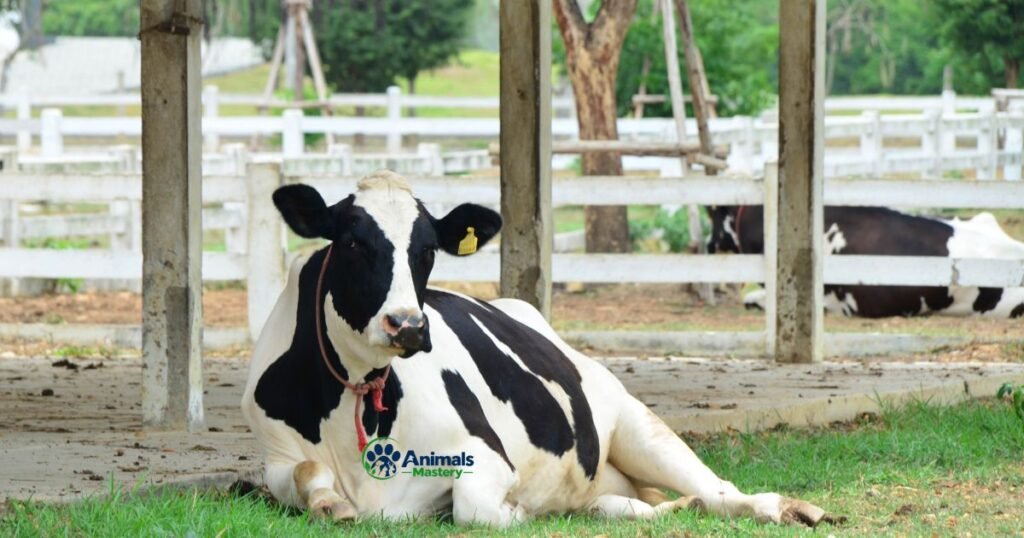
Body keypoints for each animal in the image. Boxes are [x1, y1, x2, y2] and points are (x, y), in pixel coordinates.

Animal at [241, 171, 832, 528]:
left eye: (426, 250)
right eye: (352, 242)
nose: (408, 325)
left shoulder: (482, 451)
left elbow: (474, 508)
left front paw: (520, 512)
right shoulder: (275, 455)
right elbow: (304, 474)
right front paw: (330, 503)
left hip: (637, 424)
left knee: (720, 491)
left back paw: (789, 507)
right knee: (629, 505)